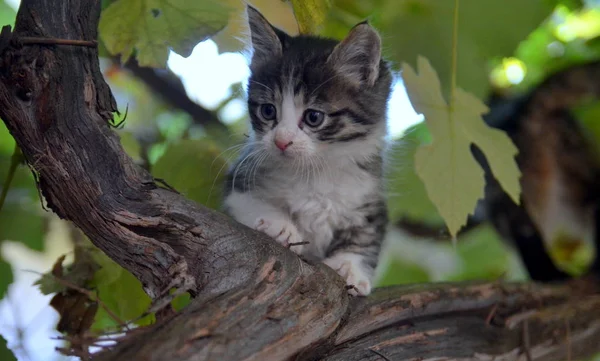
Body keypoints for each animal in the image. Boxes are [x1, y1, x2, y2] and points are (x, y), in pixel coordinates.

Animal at [223, 5, 392, 296]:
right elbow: (249, 201)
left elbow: (366, 238)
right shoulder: (238, 179)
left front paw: (349, 267)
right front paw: (279, 225)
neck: (314, 171)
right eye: (268, 111)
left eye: (314, 117)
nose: (281, 141)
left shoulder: (371, 198)